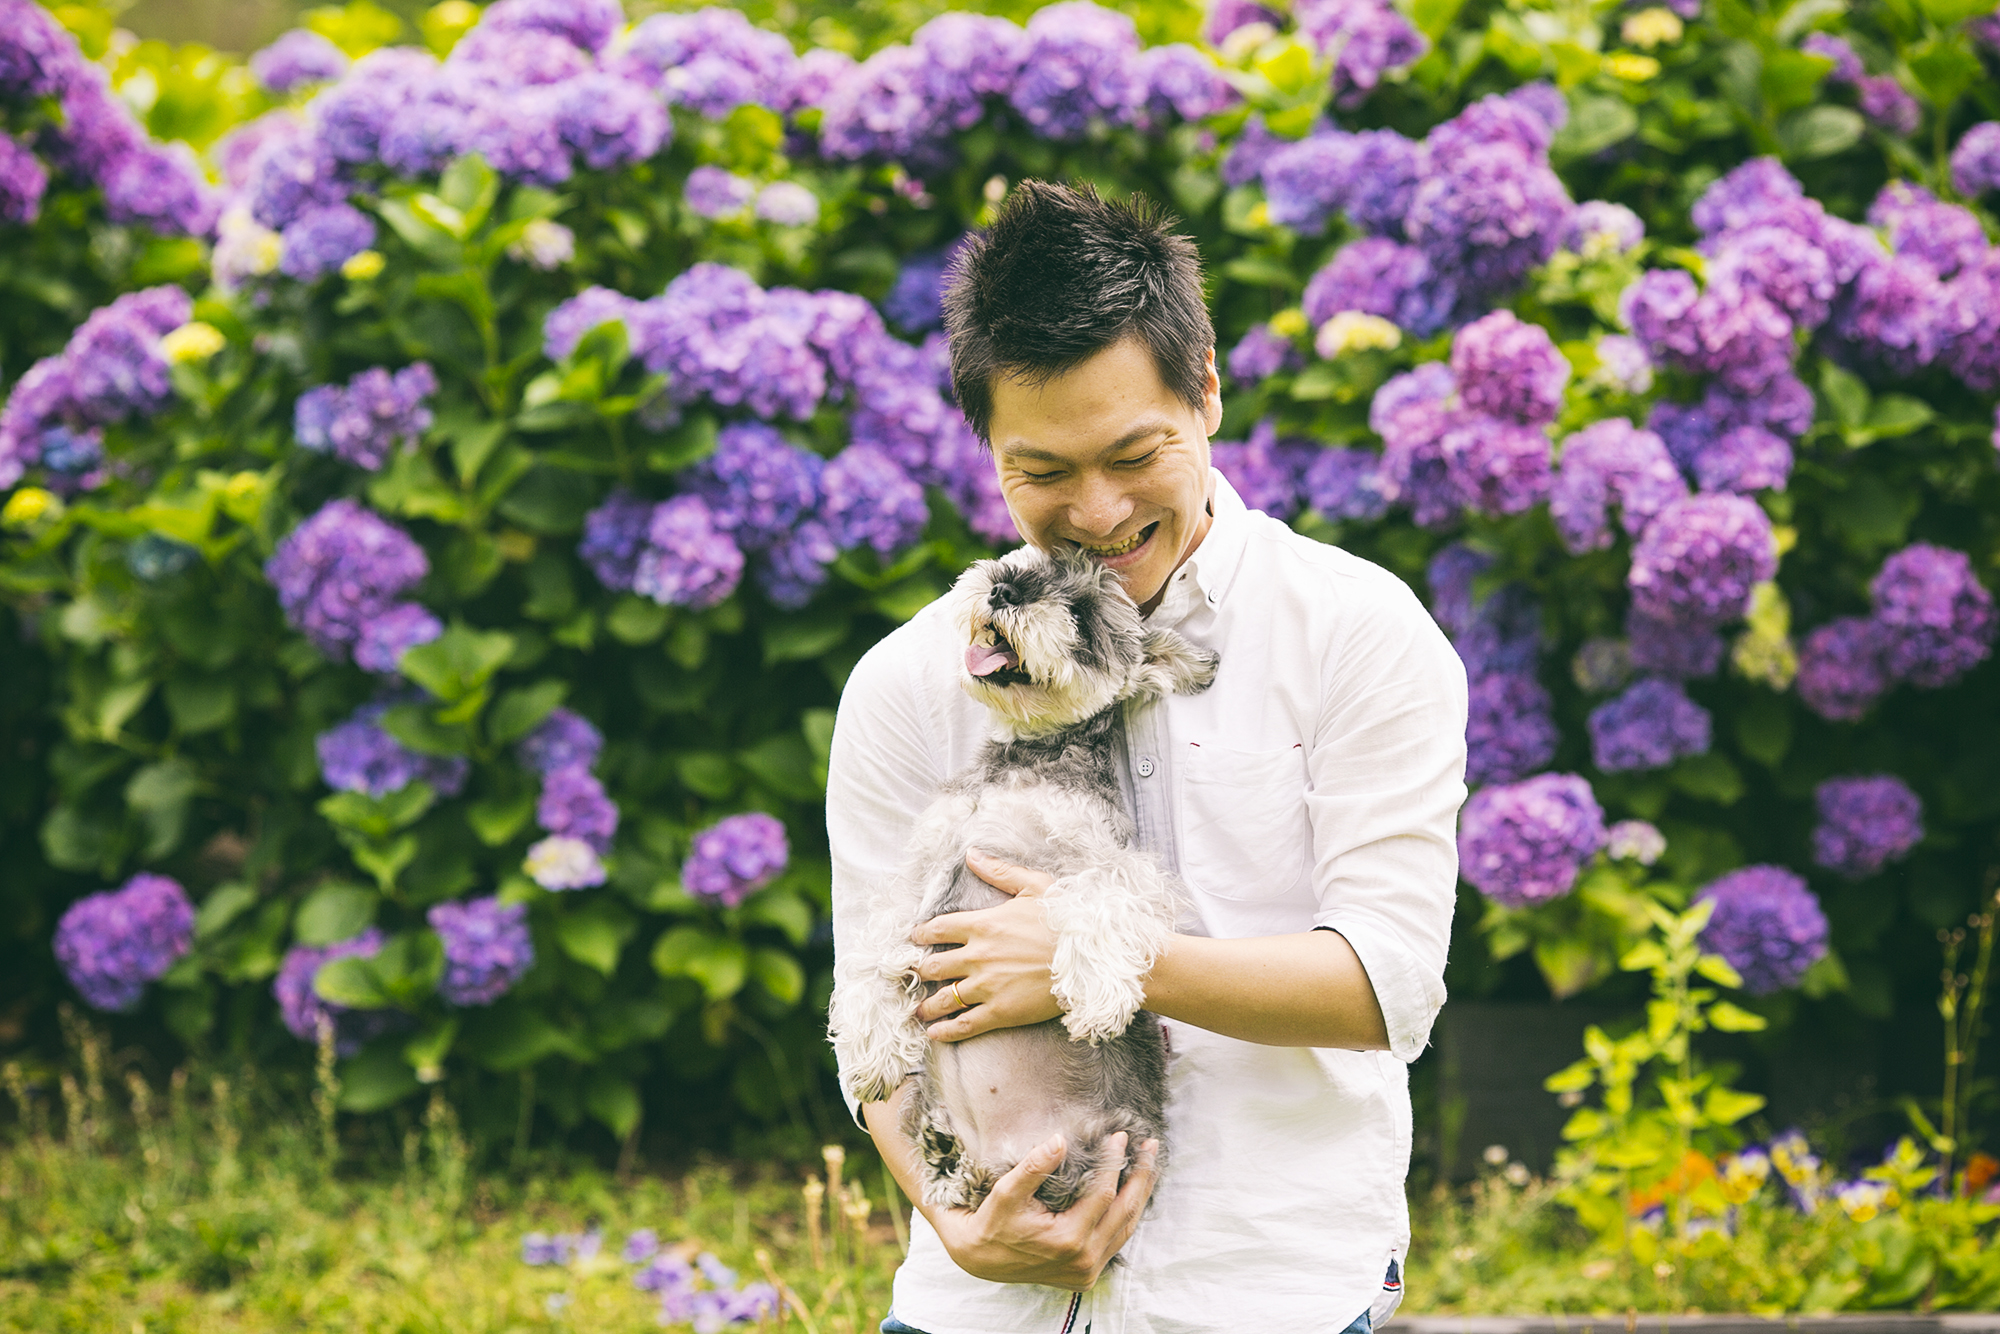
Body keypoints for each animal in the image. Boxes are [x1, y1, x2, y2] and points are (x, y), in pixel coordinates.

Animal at [828, 548, 1216, 1216]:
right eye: (1031, 562)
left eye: (1082, 615)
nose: (1004, 589)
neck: (1024, 760)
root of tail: (997, 1158)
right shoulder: (918, 875)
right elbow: (867, 952)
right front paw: (872, 1049)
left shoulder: (1112, 860)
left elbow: (1100, 900)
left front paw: (1096, 995)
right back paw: (941, 1151)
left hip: (1105, 1147)